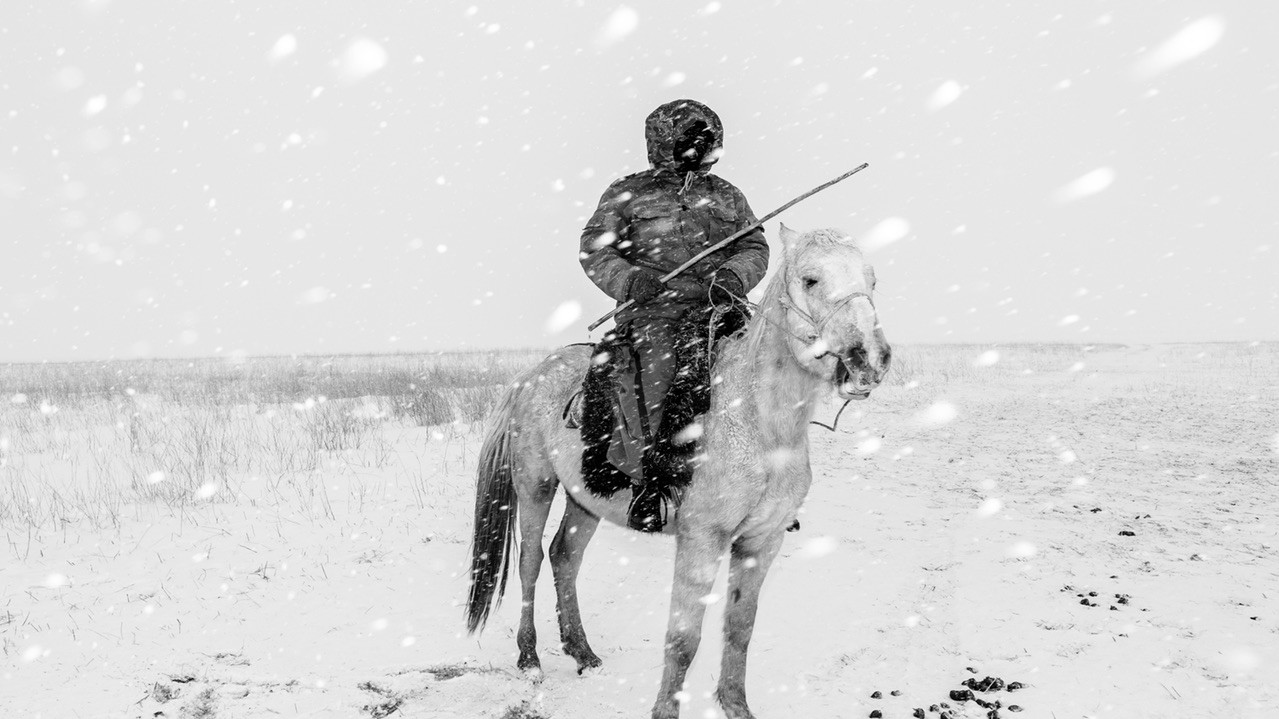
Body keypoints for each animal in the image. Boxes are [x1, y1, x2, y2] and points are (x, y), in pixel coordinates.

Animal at [464, 224, 892, 719]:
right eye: (810, 279)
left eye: (873, 280)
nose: (869, 359)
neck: (757, 424)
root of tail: (530, 376)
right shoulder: (702, 540)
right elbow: (684, 639)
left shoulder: (762, 541)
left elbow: (740, 628)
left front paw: (735, 705)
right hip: (535, 484)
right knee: (530, 560)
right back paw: (530, 657)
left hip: (585, 498)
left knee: (564, 557)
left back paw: (582, 651)